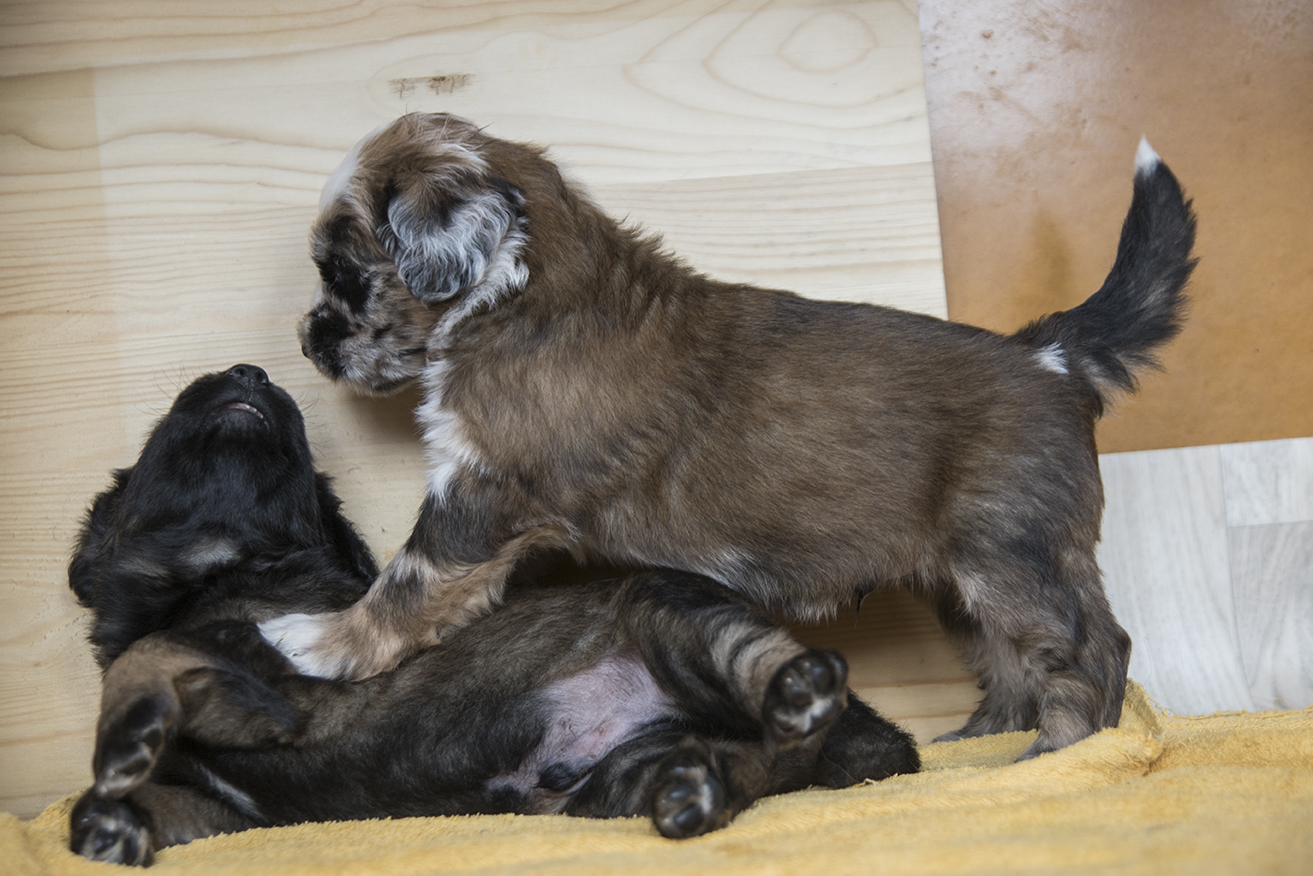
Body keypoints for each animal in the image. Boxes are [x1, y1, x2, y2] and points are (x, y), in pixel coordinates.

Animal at [68, 365, 920, 866]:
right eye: (159, 439)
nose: (249, 370)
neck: (218, 566)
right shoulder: (227, 812)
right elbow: (136, 788)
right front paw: (112, 821)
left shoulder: (297, 685)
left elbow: (147, 659)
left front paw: (127, 736)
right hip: (615, 781)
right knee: (748, 765)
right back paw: (696, 788)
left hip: (670, 606)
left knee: (791, 712)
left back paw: (777, 722)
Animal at [267, 113, 1197, 761]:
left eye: (343, 272)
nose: (309, 342)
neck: (516, 289)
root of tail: (1049, 352)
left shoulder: (481, 492)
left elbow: (408, 580)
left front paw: (318, 642)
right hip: (962, 576)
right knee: (1009, 662)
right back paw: (978, 747)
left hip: (1012, 553)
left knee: (1089, 648)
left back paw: (1060, 752)